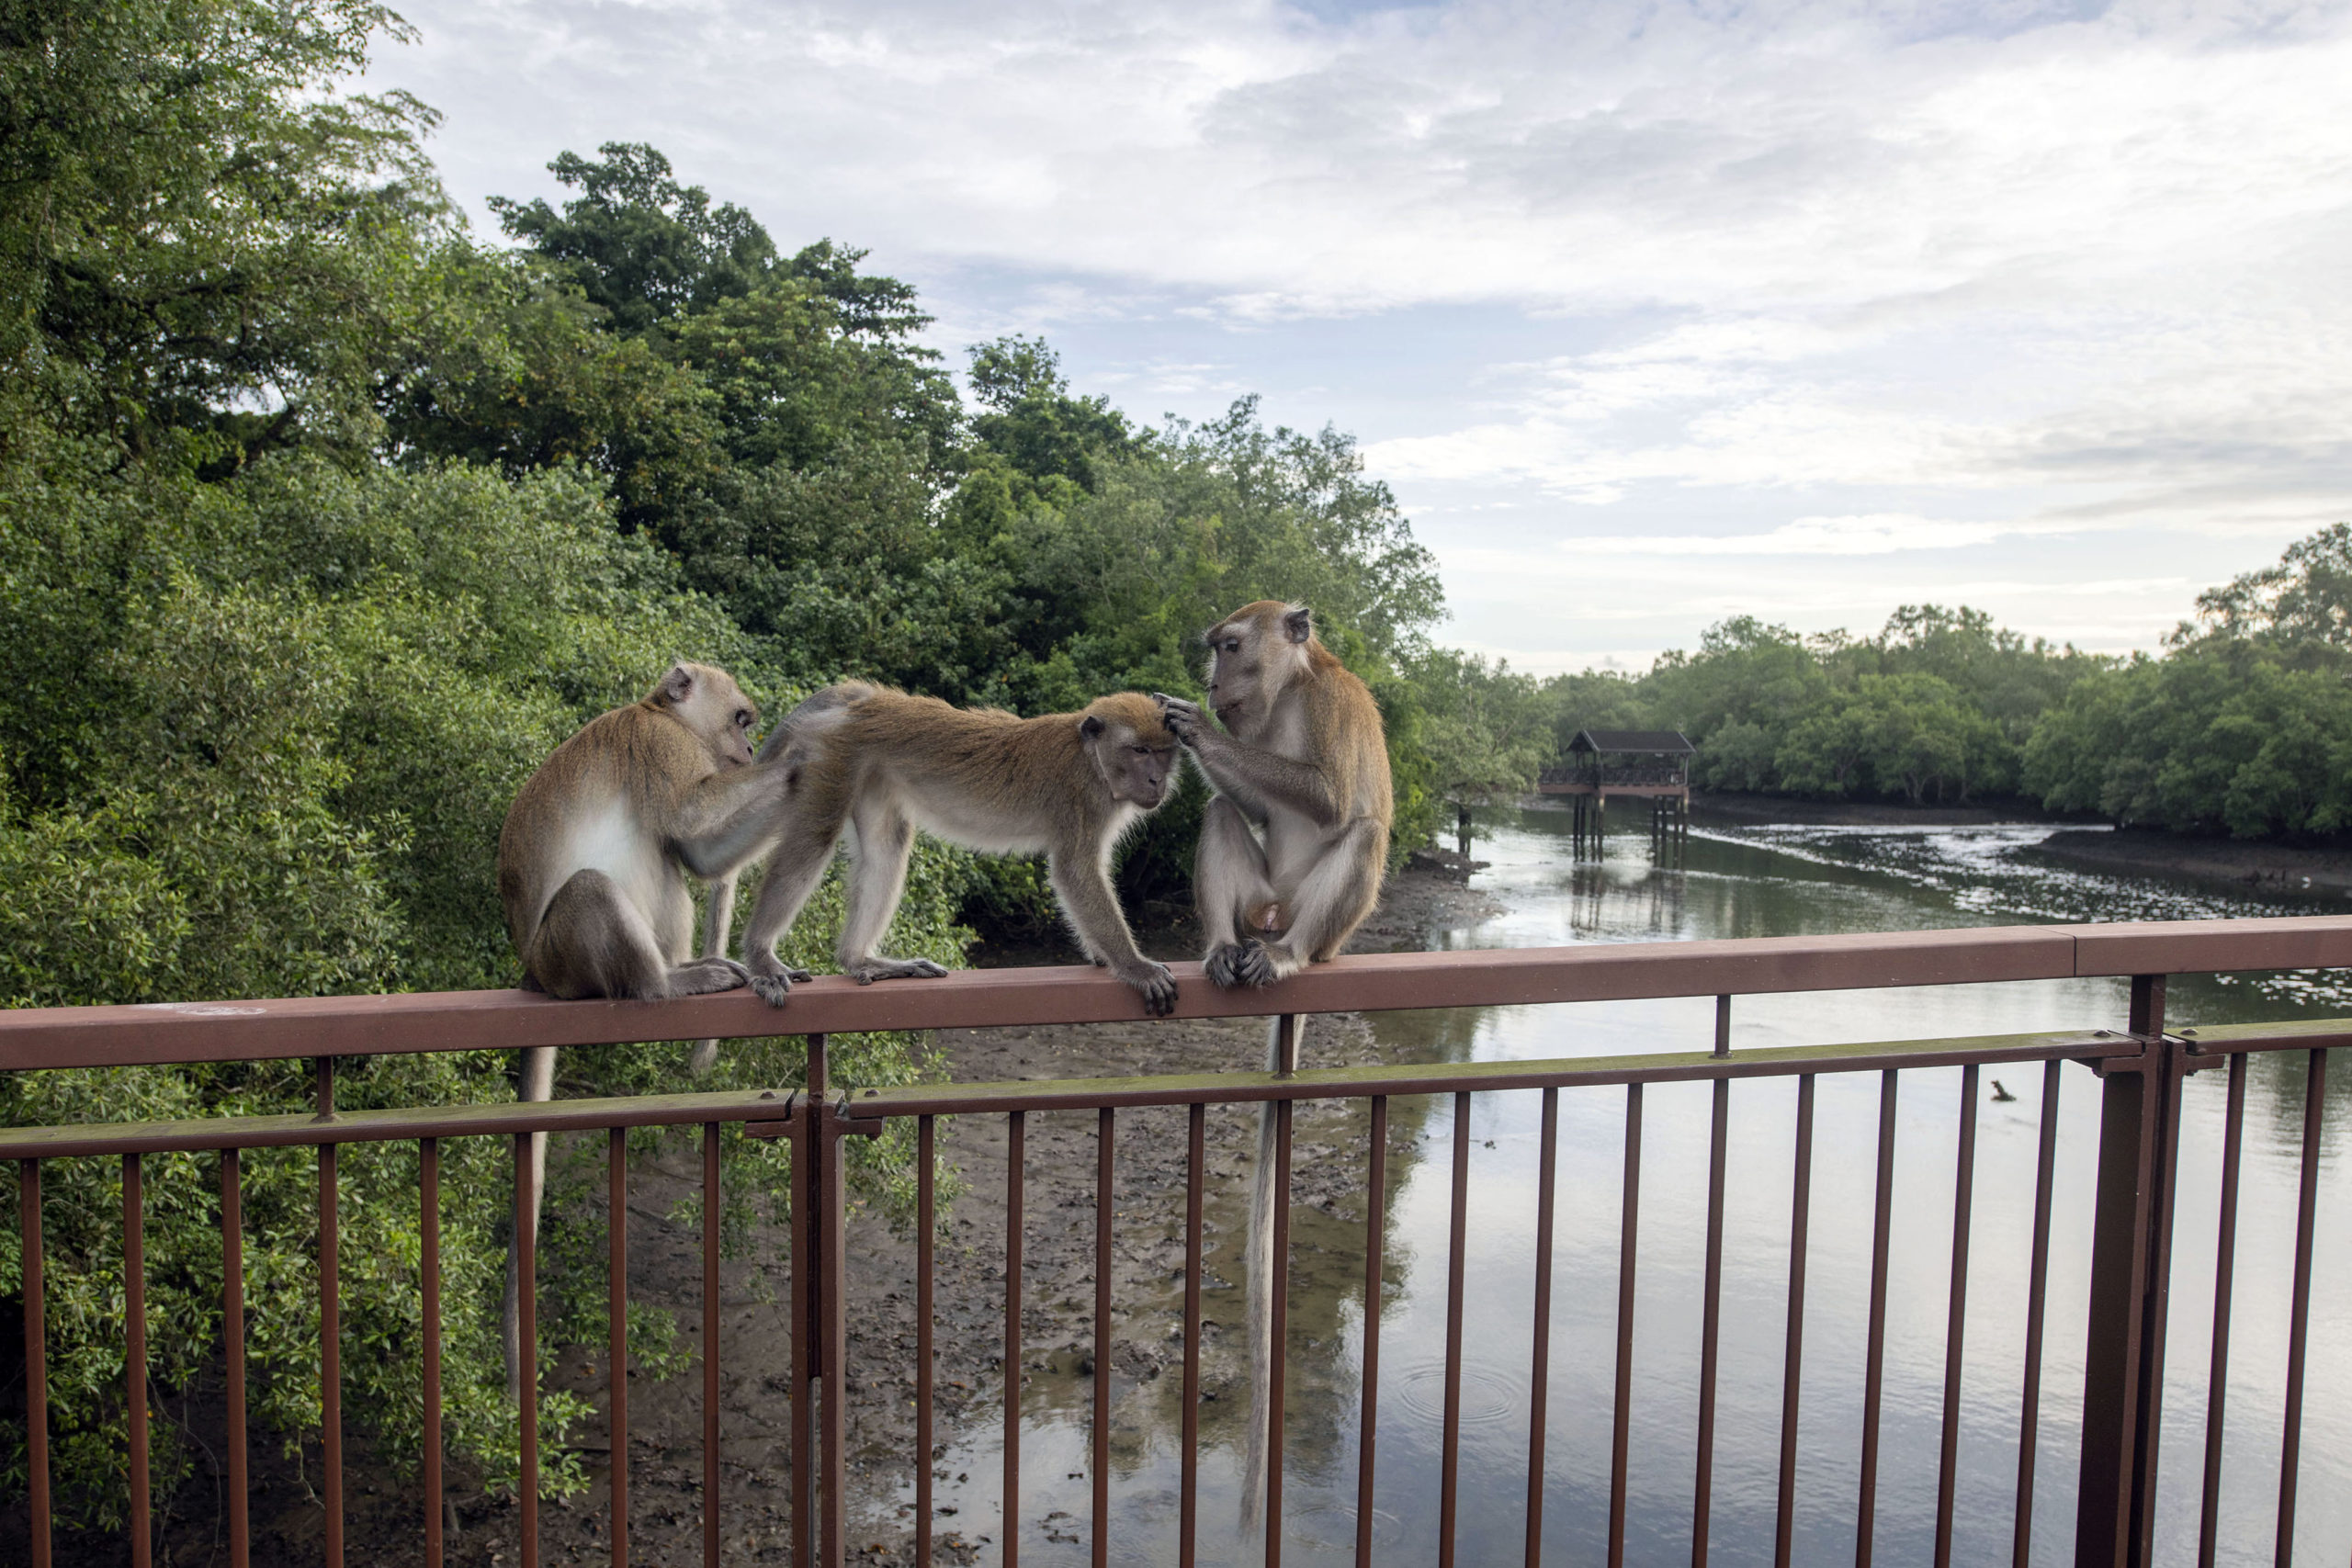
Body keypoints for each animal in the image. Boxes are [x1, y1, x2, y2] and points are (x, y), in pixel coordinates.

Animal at [715, 686, 1185, 1020]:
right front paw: (1135, 966)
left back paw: (861, 959)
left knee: (887, 846)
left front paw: (1104, 956)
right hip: (837, 755)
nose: (1157, 782)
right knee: (815, 836)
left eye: (1164, 753)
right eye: (1139, 750)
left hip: (871, 769)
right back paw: (760, 955)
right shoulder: (1083, 798)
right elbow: (1076, 872)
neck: (1091, 758)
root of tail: (861, 697)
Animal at [1157, 602, 1392, 1532]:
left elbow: (1325, 794)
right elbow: (1249, 797)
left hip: (1320, 922)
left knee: (1358, 828)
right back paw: (1224, 948)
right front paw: (1192, 726)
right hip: (1260, 897)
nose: (1213, 679)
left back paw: (1285, 959)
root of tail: (1277, 919)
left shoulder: (1329, 709)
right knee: (1225, 812)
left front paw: (1195, 725)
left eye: (1228, 645)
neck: (1289, 692)